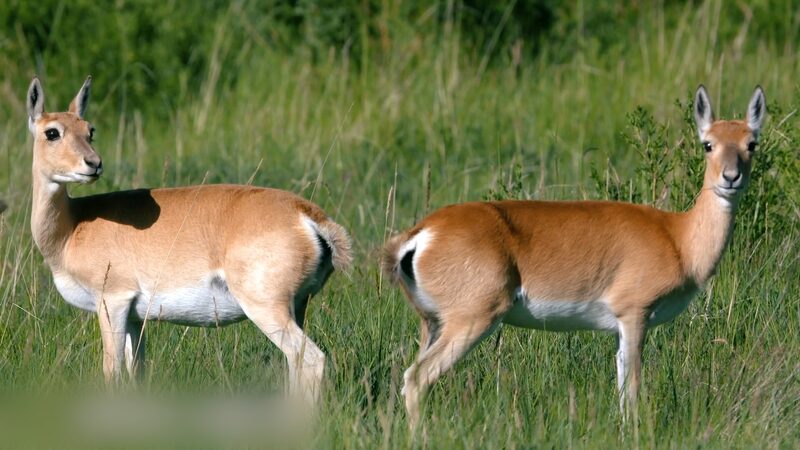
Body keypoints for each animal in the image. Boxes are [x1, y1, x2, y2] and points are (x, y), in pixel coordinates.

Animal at [26, 76, 352, 403]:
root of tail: (307, 214)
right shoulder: (134, 318)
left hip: (266, 309)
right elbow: (136, 373)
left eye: (89, 130)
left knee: (311, 359)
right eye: (52, 132)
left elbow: (112, 372)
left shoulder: (113, 302)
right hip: (297, 307)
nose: (93, 164)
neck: (73, 226)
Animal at [383, 86, 766, 427]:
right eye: (708, 144)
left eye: (751, 143)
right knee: (416, 379)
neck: (678, 237)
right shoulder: (635, 316)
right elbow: (632, 392)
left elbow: (622, 389)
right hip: (473, 319)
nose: (731, 177)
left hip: (433, 323)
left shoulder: (619, 329)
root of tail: (421, 234)